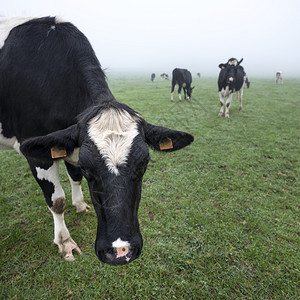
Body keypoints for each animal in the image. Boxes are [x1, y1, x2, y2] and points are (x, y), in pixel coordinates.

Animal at [0, 15, 195, 264]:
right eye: (88, 169)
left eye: (144, 165)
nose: (121, 251)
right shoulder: (37, 154)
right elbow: (57, 201)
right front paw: (65, 242)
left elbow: (73, 177)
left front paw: (80, 205)